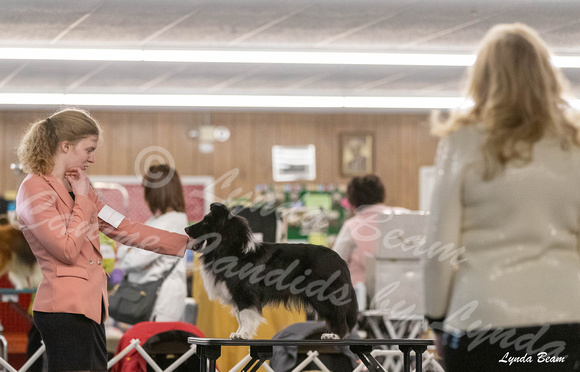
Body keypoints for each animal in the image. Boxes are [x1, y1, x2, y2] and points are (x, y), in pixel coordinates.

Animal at [186, 203, 358, 340]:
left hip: (323, 294)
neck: (234, 251)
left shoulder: (245, 294)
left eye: (206, 221)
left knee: (338, 314)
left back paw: (334, 335)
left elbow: (245, 315)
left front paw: (243, 334)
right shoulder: (238, 295)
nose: (186, 228)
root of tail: (340, 260)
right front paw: (239, 333)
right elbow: (240, 316)